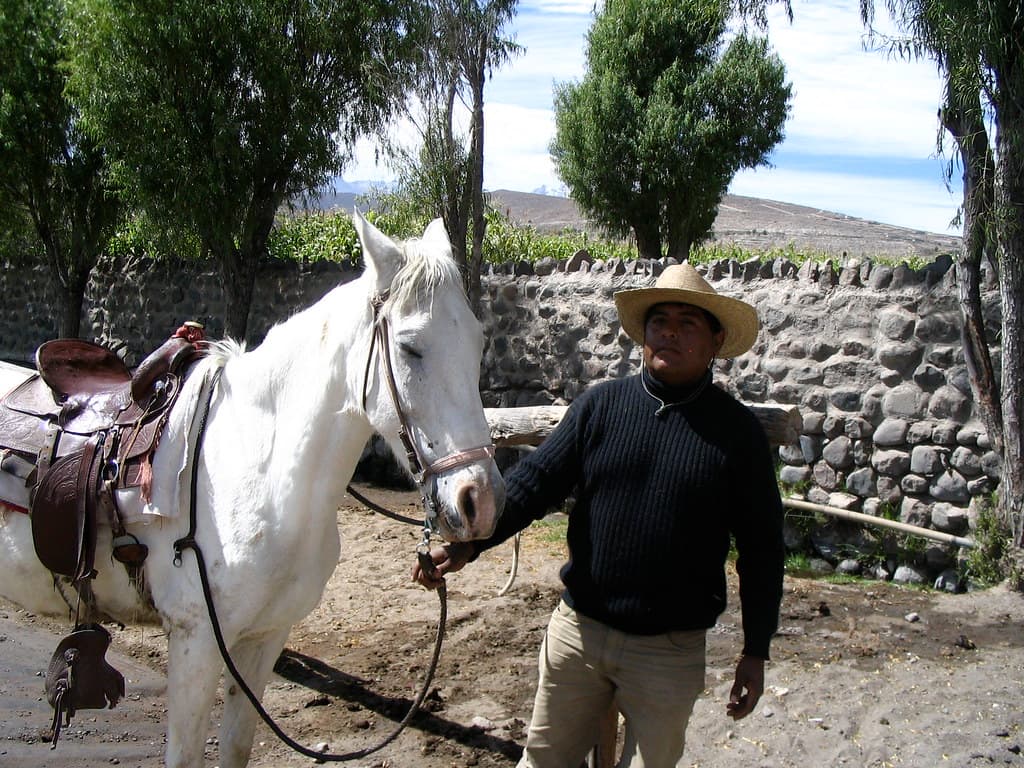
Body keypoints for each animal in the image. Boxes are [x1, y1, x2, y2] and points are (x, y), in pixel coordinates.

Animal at [0, 212, 505, 767]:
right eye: (410, 348)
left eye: (479, 343)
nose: (480, 502)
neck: (257, 473)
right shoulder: (195, 645)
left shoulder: (264, 639)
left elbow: (237, 744)